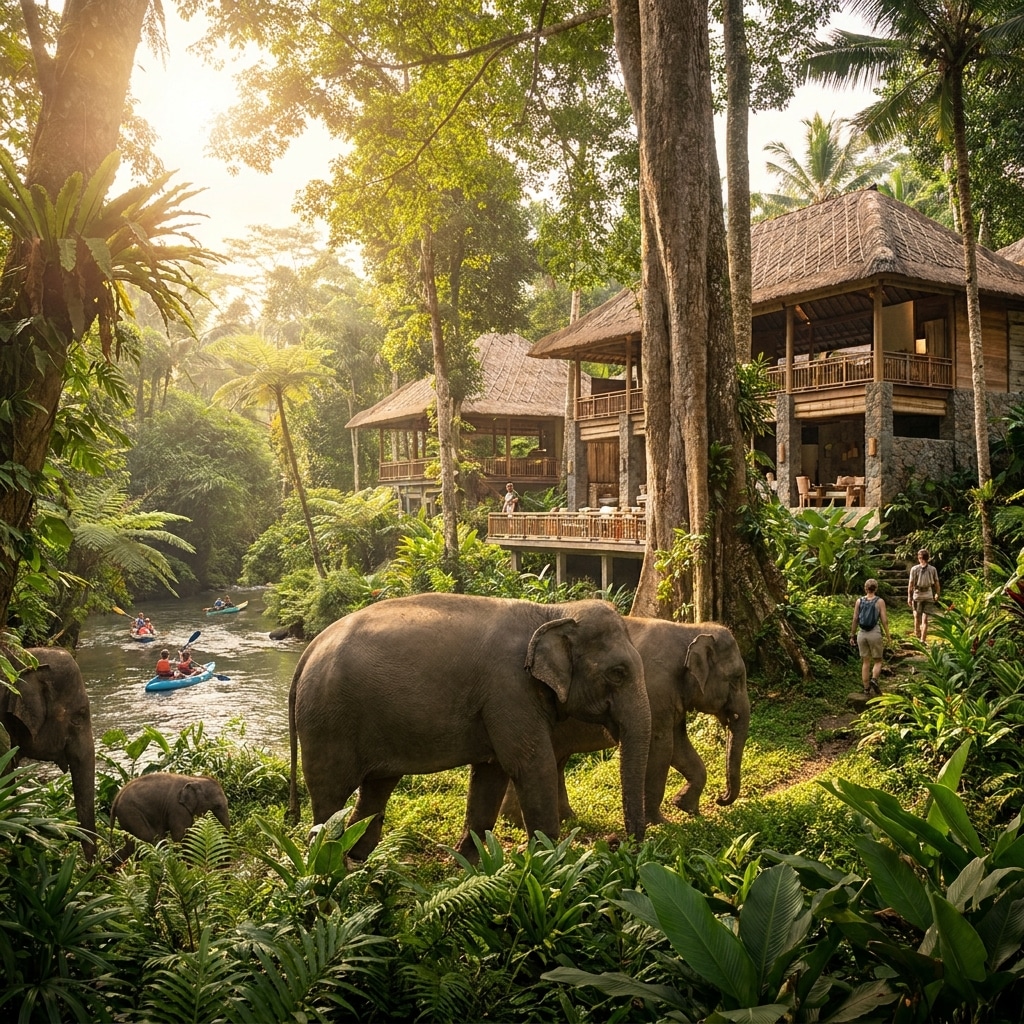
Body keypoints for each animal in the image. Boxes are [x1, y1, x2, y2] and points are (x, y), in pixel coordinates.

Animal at [288, 593, 651, 861]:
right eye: (617, 673)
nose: (620, 843)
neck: (552, 611)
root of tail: (309, 648)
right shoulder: (509, 688)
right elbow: (531, 764)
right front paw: (548, 860)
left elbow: (491, 772)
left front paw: (469, 861)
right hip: (327, 720)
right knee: (331, 793)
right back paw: (330, 861)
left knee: (376, 788)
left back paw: (358, 858)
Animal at [498, 619, 749, 827]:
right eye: (736, 679)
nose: (721, 798)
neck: (690, 629)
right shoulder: (657, 691)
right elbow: (662, 747)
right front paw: (660, 823)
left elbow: (679, 746)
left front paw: (686, 808)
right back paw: (520, 822)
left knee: (555, 760)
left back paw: (558, 819)